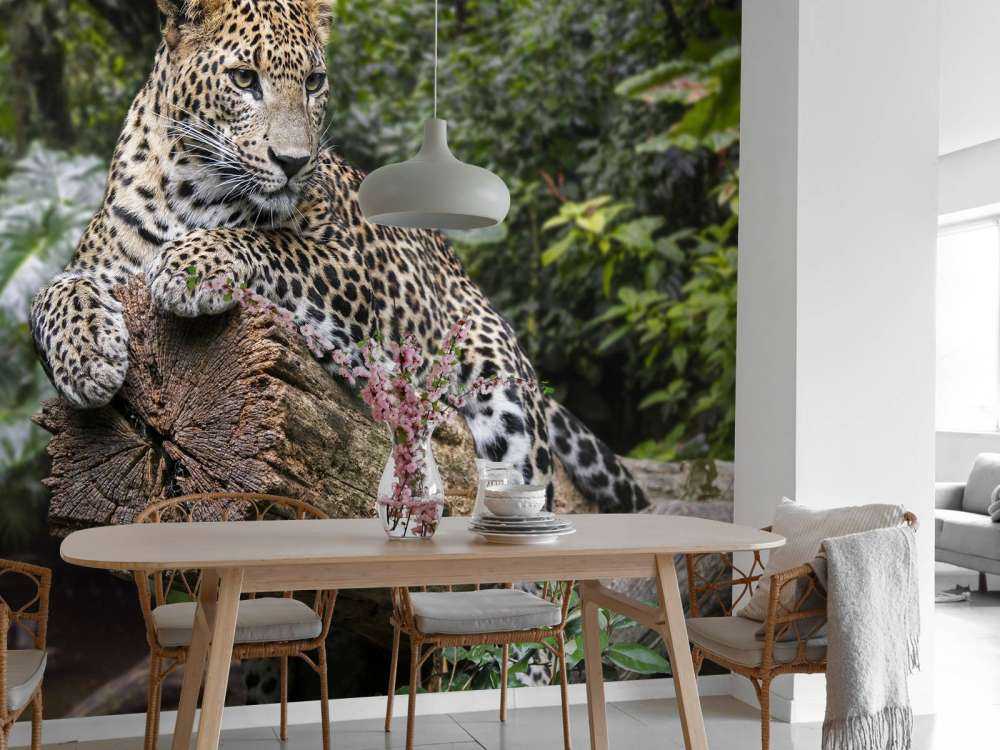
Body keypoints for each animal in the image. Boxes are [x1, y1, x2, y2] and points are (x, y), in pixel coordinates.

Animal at [28, 0, 648, 513]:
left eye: (314, 81)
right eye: (244, 79)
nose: (294, 161)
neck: (192, 190)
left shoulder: (358, 268)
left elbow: (275, 244)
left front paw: (191, 265)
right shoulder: (97, 262)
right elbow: (51, 292)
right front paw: (86, 360)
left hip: (503, 392)